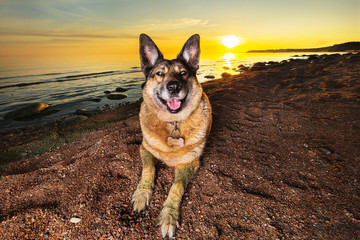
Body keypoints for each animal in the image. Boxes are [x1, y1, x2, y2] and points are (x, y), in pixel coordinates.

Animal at [131, 34, 211, 238]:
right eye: (159, 73)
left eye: (183, 73)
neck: (172, 122)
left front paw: (169, 215)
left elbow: (176, 187)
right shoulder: (144, 149)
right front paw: (142, 194)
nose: (173, 86)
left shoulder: (189, 163)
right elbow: (148, 170)